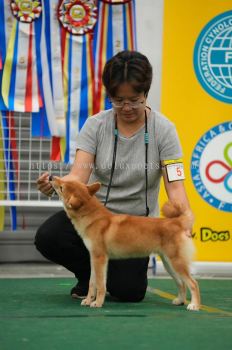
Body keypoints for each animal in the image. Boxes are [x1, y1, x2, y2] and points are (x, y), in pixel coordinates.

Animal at [50, 176, 199, 310]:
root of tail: (177, 222)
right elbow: (92, 283)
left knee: (193, 283)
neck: (93, 218)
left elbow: (100, 285)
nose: (51, 177)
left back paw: (194, 305)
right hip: (169, 264)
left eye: (62, 187)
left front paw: (97, 303)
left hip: (176, 263)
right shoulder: (93, 259)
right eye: (66, 181)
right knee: (181, 283)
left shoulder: (100, 259)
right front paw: (88, 300)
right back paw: (180, 301)